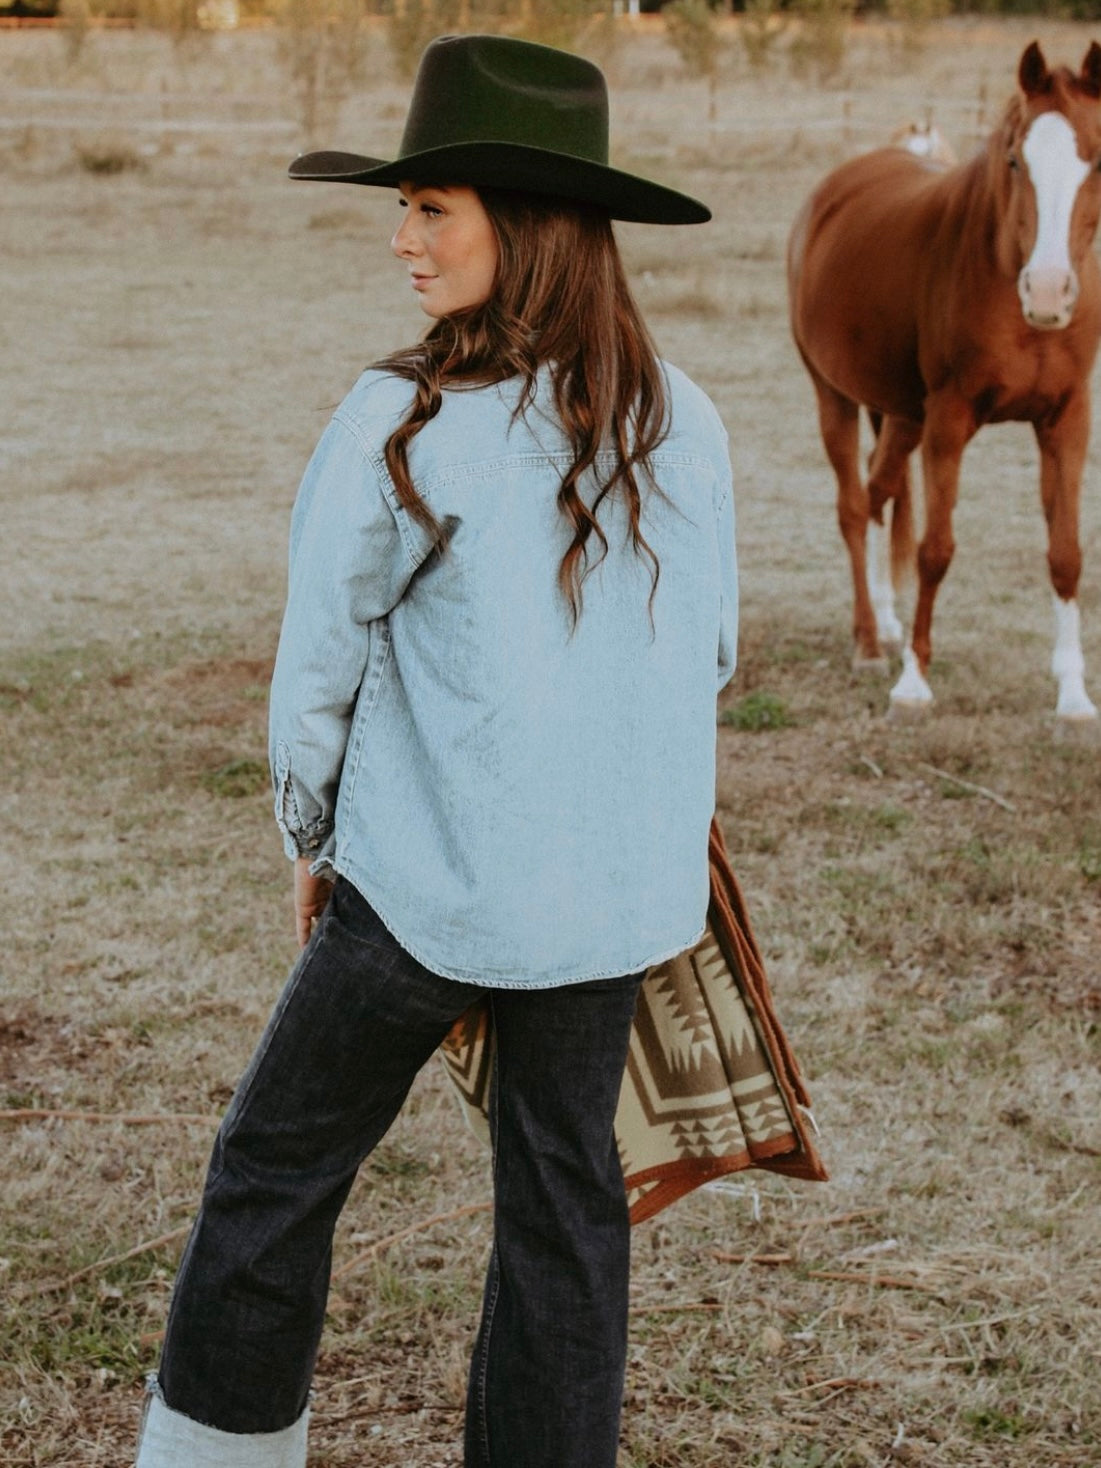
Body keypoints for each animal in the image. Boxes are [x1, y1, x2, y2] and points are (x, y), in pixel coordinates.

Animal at [786, 47, 1101, 728]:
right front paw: (913, 685)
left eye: (1096, 158)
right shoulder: (951, 421)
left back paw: (887, 622)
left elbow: (1066, 553)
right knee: (854, 506)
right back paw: (868, 643)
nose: (1047, 291)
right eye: (1015, 160)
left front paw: (1074, 696)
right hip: (835, 397)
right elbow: (935, 549)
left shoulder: (1066, 420)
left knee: (880, 491)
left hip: (902, 415)